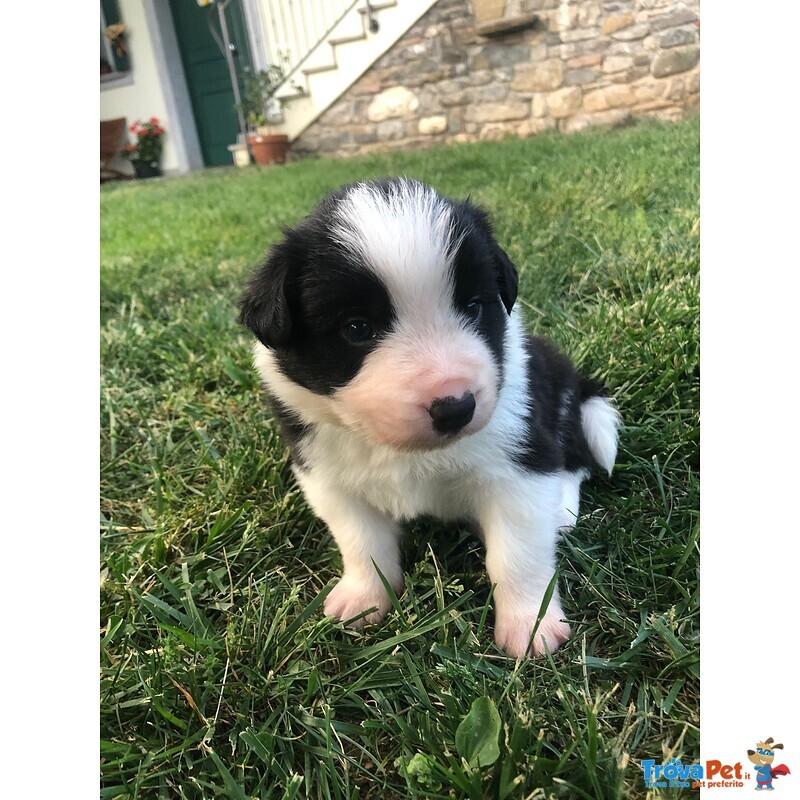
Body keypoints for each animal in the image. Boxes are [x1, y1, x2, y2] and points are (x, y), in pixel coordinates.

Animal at [238, 177, 620, 656]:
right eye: (356, 328)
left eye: (473, 307)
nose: (456, 407)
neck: (403, 451)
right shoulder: (326, 475)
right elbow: (361, 541)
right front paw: (363, 598)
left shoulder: (517, 464)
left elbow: (518, 555)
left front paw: (531, 626)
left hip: (558, 399)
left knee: (574, 458)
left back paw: (562, 509)